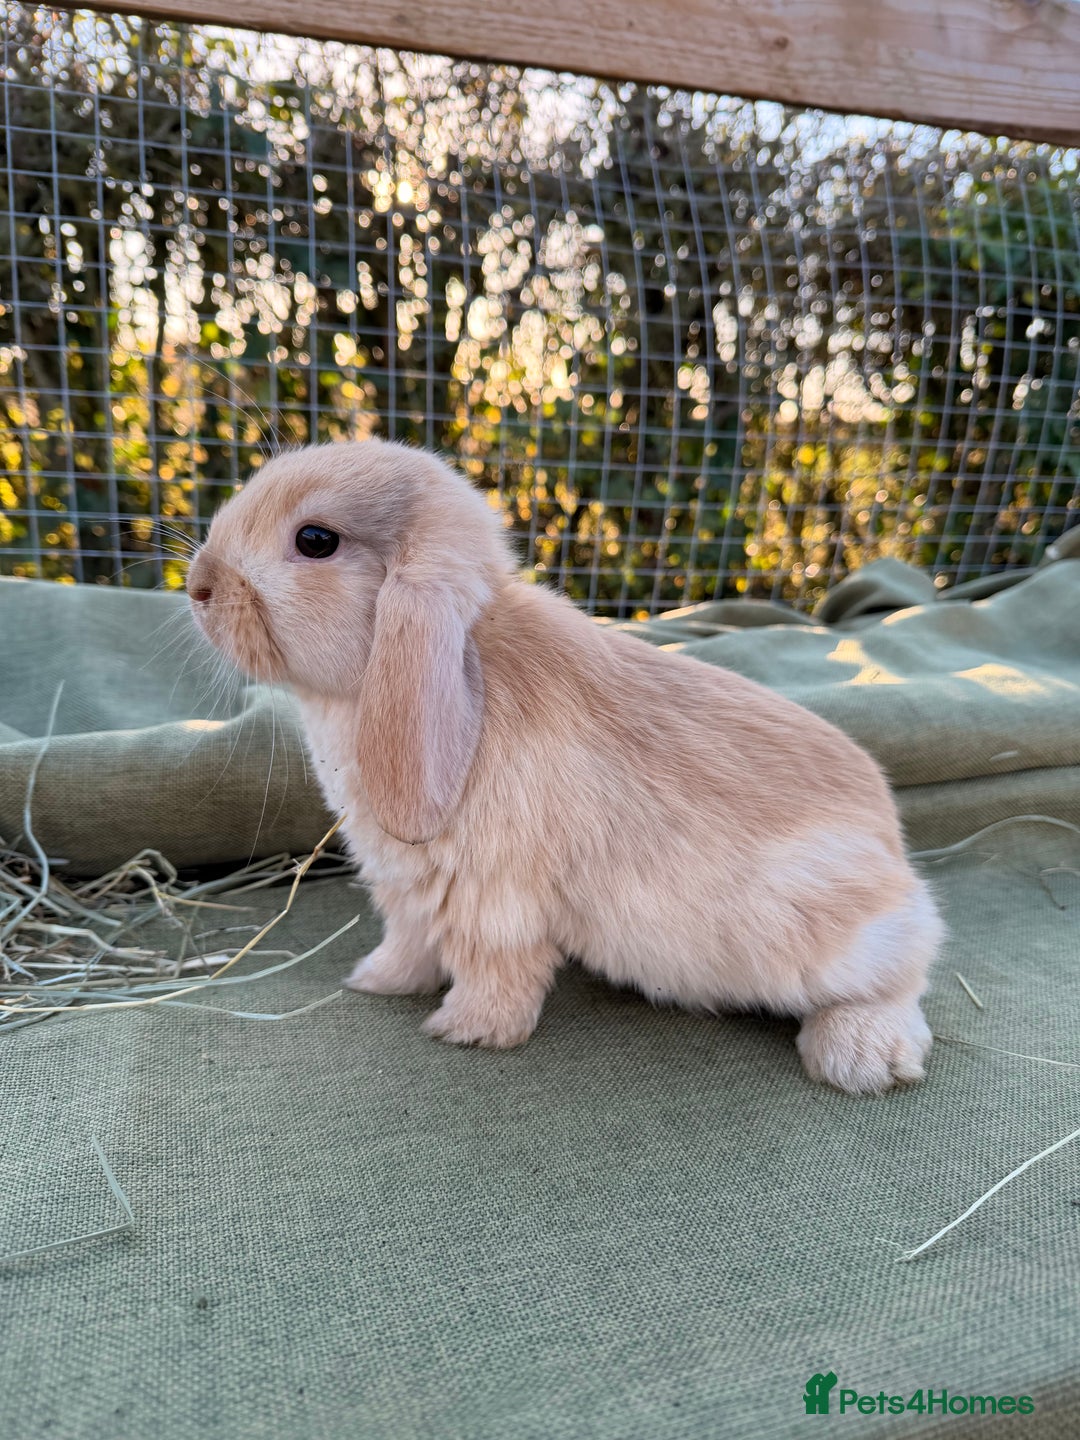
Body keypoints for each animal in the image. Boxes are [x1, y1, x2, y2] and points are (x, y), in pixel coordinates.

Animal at [186, 439, 943, 1094]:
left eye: (315, 540)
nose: (196, 586)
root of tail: (895, 852)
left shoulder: (494, 904)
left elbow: (497, 975)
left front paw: (463, 1031)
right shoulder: (410, 896)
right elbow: (408, 946)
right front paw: (373, 980)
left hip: (832, 933)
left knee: (910, 973)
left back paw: (858, 1056)